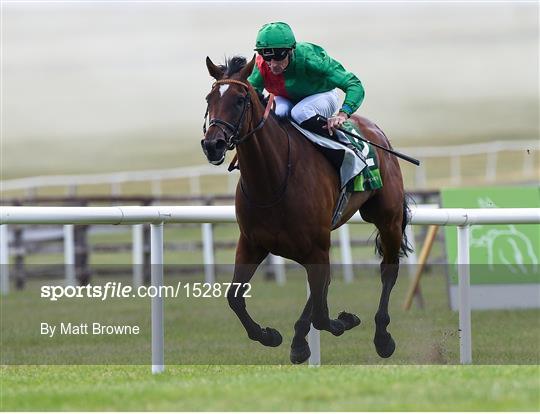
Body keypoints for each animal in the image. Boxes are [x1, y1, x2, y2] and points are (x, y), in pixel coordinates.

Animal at [201, 54, 410, 362]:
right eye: (209, 98)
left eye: (240, 100)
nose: (212, 144)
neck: (273, 179)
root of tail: (376, 130)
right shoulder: (252, 243)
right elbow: (235, 298)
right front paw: (270, 335)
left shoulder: (316, 246)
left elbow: (323, 315)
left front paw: (344, 321)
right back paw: (300, 340)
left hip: (388, 218)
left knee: (388, 270)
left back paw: (382, 337)